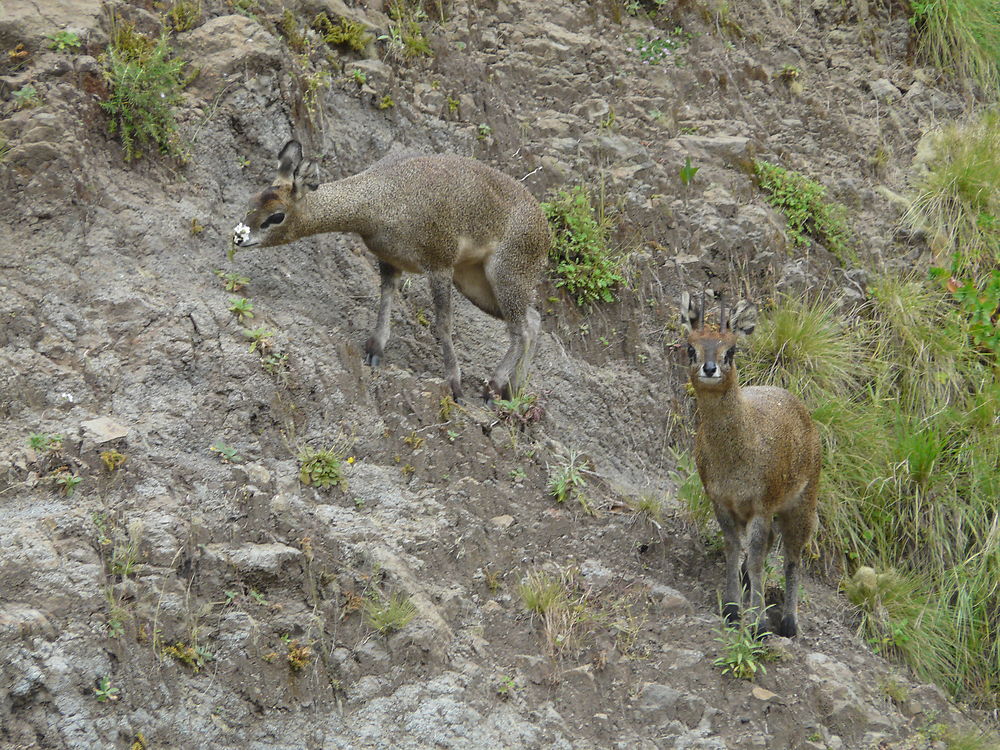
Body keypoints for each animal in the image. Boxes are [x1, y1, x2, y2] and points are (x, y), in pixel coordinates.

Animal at [231, 139, 552, 402]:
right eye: (251, 201)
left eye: (276, 216)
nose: (239, 237)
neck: (382, 203)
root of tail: (545, 229)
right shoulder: (390, 261)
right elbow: (386, 298)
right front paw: (375, 350)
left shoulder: (439, 263)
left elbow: (443, 324)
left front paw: (455, 387)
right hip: (474, 281)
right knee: (532, 320)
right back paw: (512, 392)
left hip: (506, 273)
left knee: (520, 329)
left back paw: (493, 389)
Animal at [680, 290, 820, 636]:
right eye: (690, 347)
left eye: (731, 349)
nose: (710, 368)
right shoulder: (721, 501)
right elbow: (733, 549)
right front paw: (731, 609)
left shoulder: (762, 505)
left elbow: (756, 557)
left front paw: (758, 622)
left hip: (801, 504)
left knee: (793, 557)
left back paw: (789, 621)